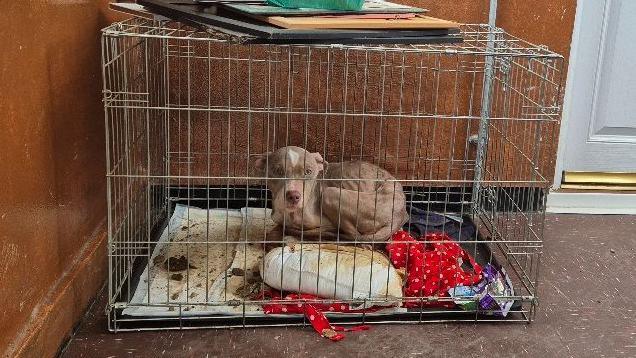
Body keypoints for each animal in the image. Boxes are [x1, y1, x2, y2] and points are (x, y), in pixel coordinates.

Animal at [253, 145, 408, 243]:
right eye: (278, 171)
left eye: (308, 171)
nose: (293, 196)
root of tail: (401, 213)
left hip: (331, 194)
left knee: (355, 236)